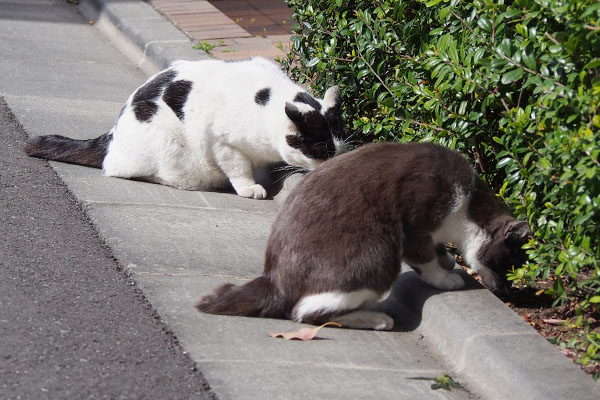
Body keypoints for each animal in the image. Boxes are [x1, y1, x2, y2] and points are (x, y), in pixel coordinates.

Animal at [197, 142, 528, 330]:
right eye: (508, 267)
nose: (506, 292)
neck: (467, 205)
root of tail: (274, 279)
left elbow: (439, 250)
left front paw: (448, 261)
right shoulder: (416, 224)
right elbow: (426, 259)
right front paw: (446, 277)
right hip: (379, 254)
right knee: (303, 312)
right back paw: (377, 319)